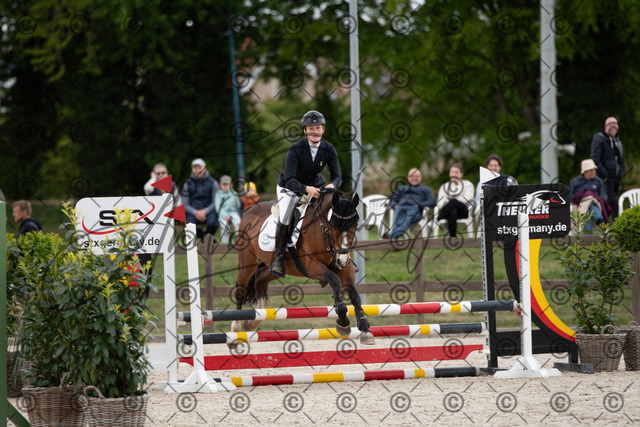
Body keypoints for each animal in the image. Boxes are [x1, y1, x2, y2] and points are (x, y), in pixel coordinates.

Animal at [231, 188, 374, 346]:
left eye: (355, 224)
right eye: (333, 224)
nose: (342, 260)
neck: (323, 232)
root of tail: (249, 210)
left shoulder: (345, 268)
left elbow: (354, 295)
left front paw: (365, 330)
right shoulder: (314, 267)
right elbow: (335, 281)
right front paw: (343, 323)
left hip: (274, 267)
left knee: (260, 280)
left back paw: (253, 322)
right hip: (247, 262)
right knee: (241, 290)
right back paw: (236, 328)